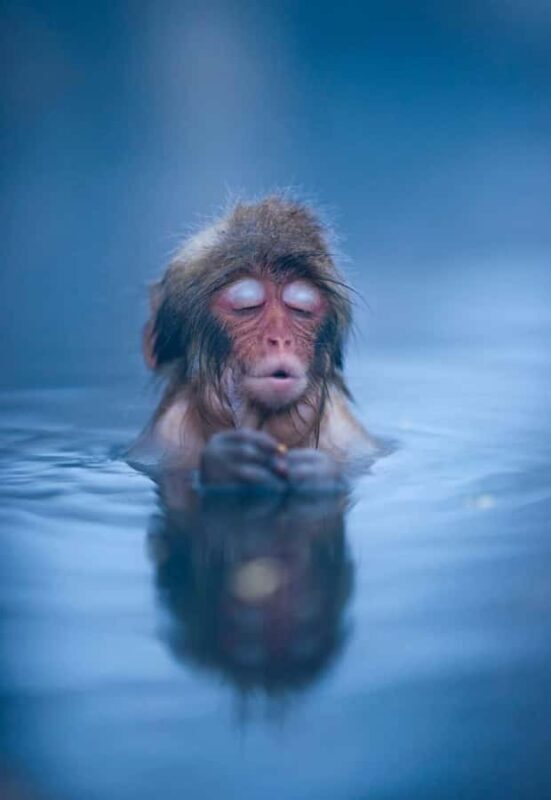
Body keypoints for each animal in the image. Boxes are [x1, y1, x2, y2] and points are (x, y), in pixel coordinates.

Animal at [131, 196, 377, 490]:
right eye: (246, 307)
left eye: (301, 310)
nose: (280, 339)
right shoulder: (166, 436)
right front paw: (228, 462)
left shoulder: (346, 435)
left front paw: (316, 473)